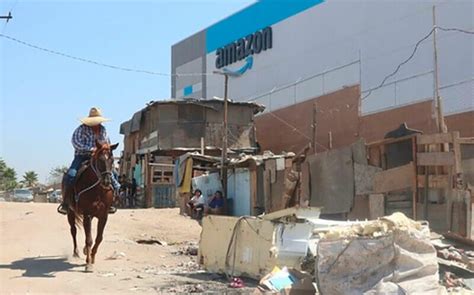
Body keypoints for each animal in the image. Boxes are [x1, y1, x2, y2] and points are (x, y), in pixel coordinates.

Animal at [62, 142, 118, 272]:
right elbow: (89, 239)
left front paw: (92, 258)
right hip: (70, 213)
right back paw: (76, 252)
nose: (107, 182)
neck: (98, 190)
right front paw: (88, 263)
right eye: (100, 160)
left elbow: (98, 238)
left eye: (112, 160)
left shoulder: (104, 216)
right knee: (73, 230)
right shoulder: (87, 214)